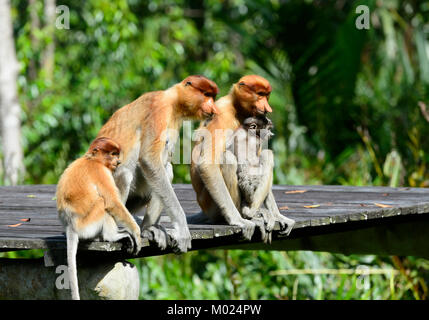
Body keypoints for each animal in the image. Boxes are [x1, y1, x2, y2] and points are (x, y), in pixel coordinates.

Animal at [55, 137, 140, 300]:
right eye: (112, 154)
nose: (118, 162)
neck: (92, 159)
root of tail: (70, 226)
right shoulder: (100, 172)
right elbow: (112, 203)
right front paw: (136, 232)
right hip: (87, 224)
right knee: (102, 203)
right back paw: (112, 236)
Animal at [95, 75, 219, 252]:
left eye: (212, 96)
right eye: (206, 94)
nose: (213, 108)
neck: (173, 102)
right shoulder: (159, 109)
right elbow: (149, 159)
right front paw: (183, 229)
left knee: (167, 171)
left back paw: (146, 229)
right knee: (125, 174)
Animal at [190, 75, 294, 240]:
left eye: (266, 95)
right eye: (260, 94)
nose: (267, 108)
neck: (237, 108)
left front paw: (279, 216)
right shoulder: (222, 114)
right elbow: (207, 163)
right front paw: (237, 220)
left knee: (265, 155)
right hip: (211, 204)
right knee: (228, 158)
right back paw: (245, 215)